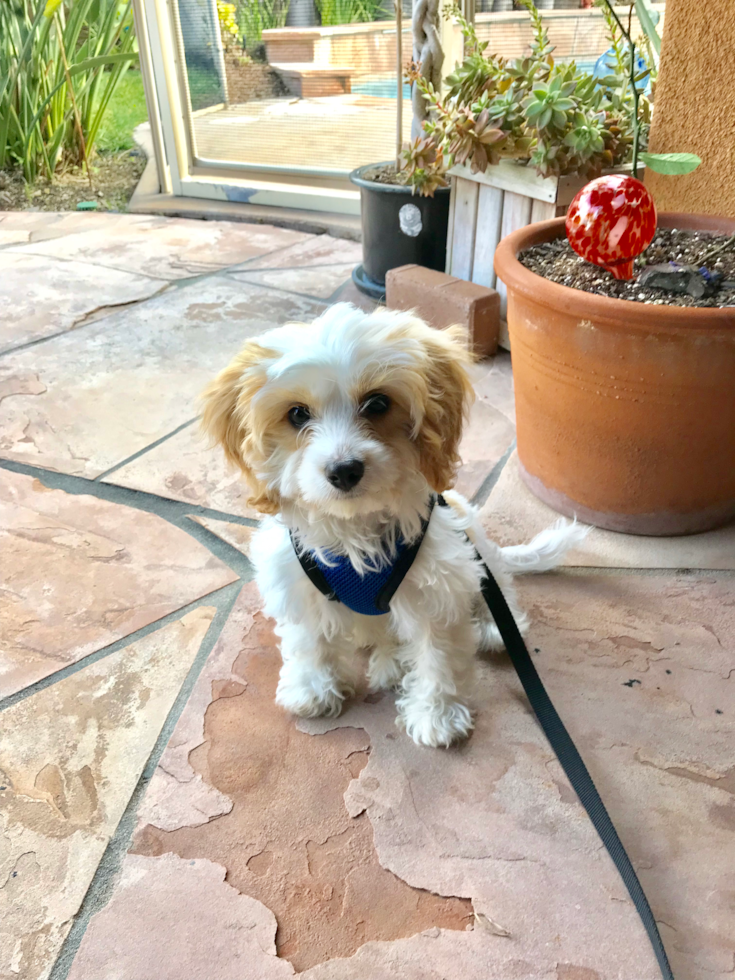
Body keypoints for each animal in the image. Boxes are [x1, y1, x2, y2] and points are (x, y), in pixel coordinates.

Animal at [201, 302, 588, 748]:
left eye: (377, 404)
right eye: (297, 414)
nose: (344, 470)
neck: (356, 529)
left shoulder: (439, 583)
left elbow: (438, 655)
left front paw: (437, 715)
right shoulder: (297, 580)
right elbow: (309, 639)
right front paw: (312, 688)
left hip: (475, 542)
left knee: (498, 585)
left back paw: (490, 629)